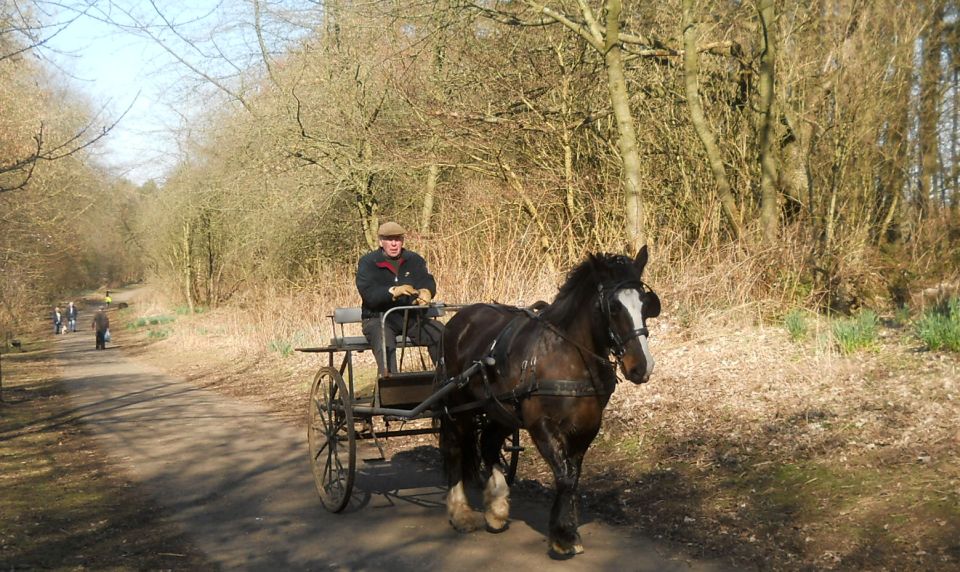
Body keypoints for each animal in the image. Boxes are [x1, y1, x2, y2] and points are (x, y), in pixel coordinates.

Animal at [436, 247, 660, 560]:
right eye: (613, 307)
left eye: (645, 304)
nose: (642, 366)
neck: (567, 356)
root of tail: (459, 319)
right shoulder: (541, 425)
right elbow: (563, 476)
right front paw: (562, 537)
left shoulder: (587, 427)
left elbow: (573, 476)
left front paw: (568, 531)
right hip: (460, 406)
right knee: (455, 448)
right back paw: (461, 513)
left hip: (500, 409)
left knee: (489, 443)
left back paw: (497, 509)